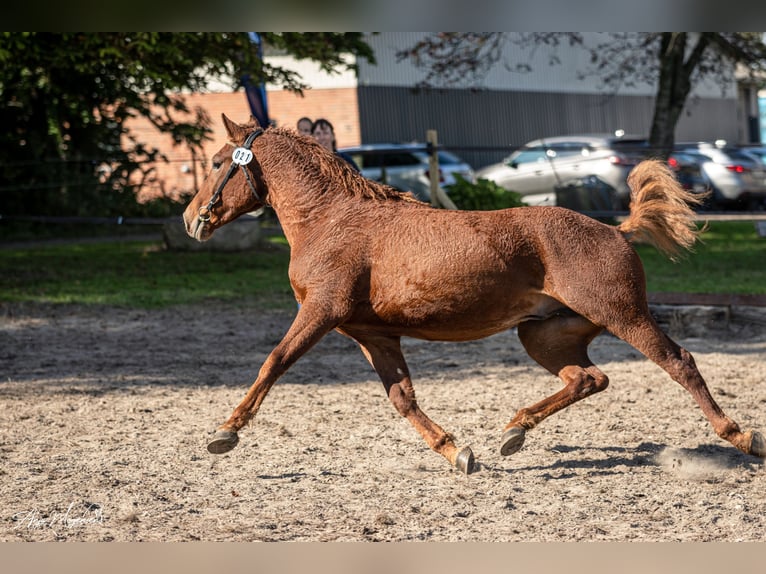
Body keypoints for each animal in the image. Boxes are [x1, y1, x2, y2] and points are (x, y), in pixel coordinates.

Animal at [183, 115, 764, 474]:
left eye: (215, 162)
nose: (191, 219)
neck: (331, 220)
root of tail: (617, 229)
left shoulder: (321, 312)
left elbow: (274, 362)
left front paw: (224, 433)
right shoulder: (372, 333)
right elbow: (402, 398)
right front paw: (458, 453)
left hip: (623, 314)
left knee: (678, 362)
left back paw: (742, 436)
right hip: (544, 335)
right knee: (588, 378)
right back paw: (514, 431)